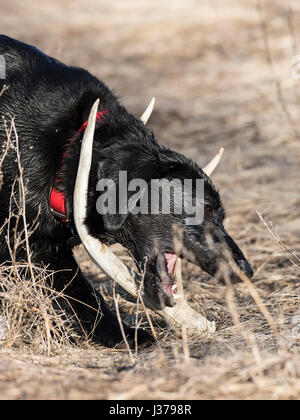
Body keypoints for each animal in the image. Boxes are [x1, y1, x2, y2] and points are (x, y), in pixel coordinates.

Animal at [0, 34, 253, 346]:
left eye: (222, 215)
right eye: (204, 208)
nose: (247, 271)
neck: (70, 145)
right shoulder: (27, 240)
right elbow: (83, 296)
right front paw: (130, 335)